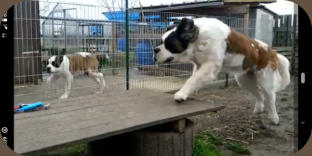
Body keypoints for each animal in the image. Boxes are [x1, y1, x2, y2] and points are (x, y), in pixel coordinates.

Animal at [155, 17, 292, 124]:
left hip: (265, 81)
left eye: (168, 44)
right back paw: (258, 109)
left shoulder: (209, 66)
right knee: (259, 95)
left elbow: (192, 80)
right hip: (244, 79)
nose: (155, 49)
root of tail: (272, 51)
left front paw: (181, 95)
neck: (198, 38)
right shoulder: (199, 66)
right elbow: (194, 79)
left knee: (270, 97)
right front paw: (188, 93)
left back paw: (274, 118)